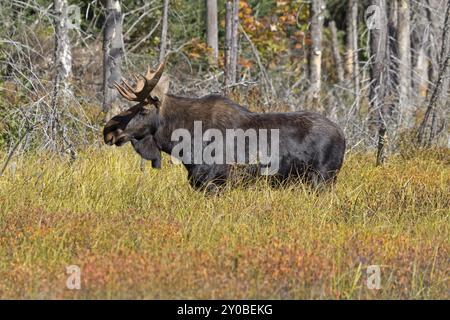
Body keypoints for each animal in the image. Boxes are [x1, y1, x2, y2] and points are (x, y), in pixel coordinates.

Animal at [103, 61, 346, 192]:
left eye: (143, 110)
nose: (109, 130)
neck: (182, 145)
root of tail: (343, 136)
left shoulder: (214, 183)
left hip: (323, 179)